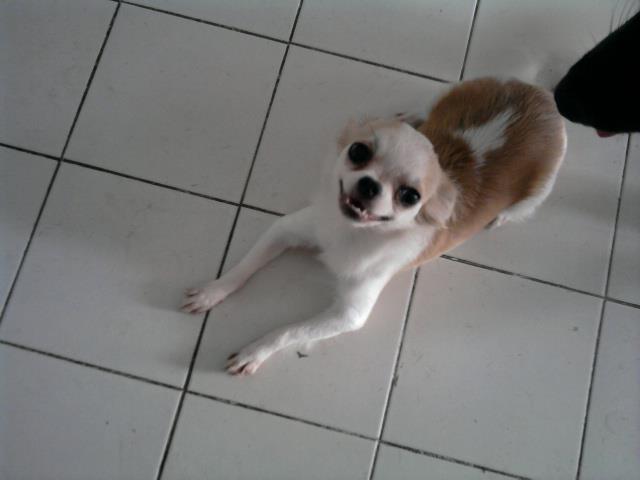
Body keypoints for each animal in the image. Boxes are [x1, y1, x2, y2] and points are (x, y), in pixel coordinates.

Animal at [182, 77, 567, 375]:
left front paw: (254, 351)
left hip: (541, 189)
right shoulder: (286, 230)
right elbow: (243, 269)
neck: (351, 233)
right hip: (451, 92)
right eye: (358, 151)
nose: (369, 185)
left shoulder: (348, 314)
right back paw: (410, 116)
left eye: (410, 196)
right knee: (428, 106)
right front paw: (213, 291)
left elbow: (288, 331)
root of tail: (543, 97)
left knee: (523, 207)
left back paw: (501, 216)